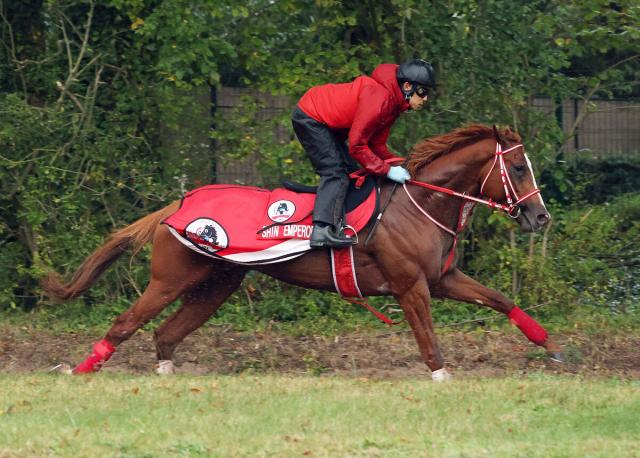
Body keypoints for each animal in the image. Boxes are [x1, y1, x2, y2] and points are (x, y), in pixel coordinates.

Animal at [42, 124, 564, 380]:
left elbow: (500, 300)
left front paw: (552, 347)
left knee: (165, 334)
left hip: (216, 284)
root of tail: (179, 204)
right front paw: (442, 376)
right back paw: (77, 370)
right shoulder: (411, 285)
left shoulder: (441, 278)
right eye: (519, 167)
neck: (419, 203)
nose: (540, 218)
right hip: (171, 278)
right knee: (125, 323)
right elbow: (428, 338)